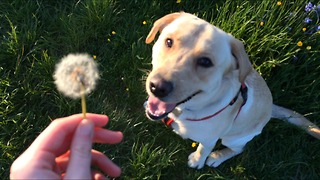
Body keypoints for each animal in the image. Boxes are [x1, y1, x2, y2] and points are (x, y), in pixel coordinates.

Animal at [144, 12, 320, 169]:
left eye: (205, 62)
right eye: (169, 42)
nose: (157, 87)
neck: (184, 111)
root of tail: (271, 108)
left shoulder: (210, 139)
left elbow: (203, 149)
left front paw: (197, 161)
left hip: (235, 138)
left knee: (239, 149)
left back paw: (217, 157)